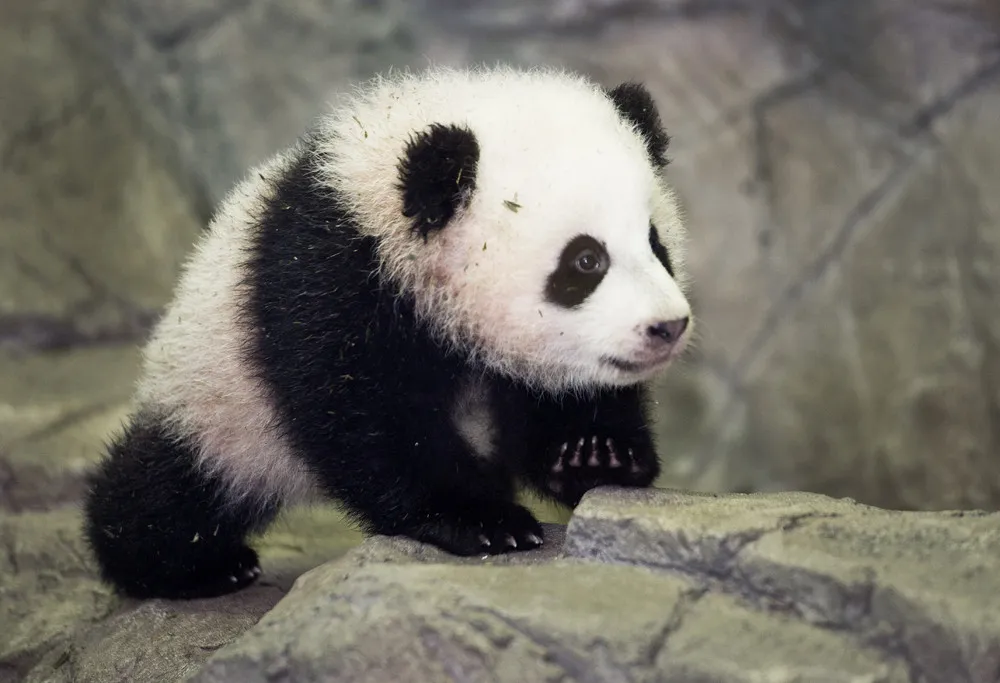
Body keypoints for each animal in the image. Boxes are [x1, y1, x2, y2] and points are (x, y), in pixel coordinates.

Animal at [82, 64, 694, 600]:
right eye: (586, 262)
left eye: (656, 243)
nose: (668, 326)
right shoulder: (329, 282)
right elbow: (363, 417)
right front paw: (481, 519)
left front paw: (594, 454)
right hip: (214, 396)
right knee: (173, 489)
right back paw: (196, 565)